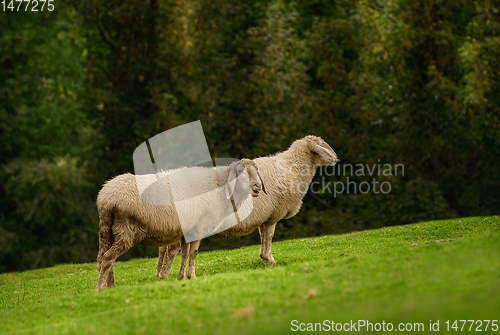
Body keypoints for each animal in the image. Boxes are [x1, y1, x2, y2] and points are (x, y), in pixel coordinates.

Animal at [94, 159, 266, 290]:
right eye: (241, 173)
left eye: (257, 171)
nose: (257, 186)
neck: (221, 189)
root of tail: (106, 198)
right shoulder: (200, 227)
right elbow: (193, 253)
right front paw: (192, 276)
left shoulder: (187, 231)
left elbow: (184, 253)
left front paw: (181, 277)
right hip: (127, 230)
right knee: (108, 258)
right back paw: (100, 289)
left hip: (107, 231)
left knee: (104, 258)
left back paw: (110, 287)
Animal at [159, 136, 340, 280]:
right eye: (321, 145)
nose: (337, 158)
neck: (292, 167)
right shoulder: (273, 216)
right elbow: (270, 236)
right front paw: (270, 259)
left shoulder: (264, 217)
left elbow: (263, 236)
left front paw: (264, 257)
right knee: (172, 250)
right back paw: (166, 276)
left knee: (165, 249)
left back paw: (161, 274)